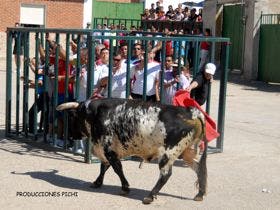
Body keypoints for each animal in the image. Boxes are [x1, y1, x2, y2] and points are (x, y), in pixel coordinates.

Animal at [57, 98, 208, 203]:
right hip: (186, 152)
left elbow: (117, 168)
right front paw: (97, 183)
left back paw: (150, 196)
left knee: (165, 175)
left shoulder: (108, 149)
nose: (71, 136)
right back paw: (200, 194)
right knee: (199, 168)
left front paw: (125, 187)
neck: (95, 114)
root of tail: (191, 112)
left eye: (73, 117)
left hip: (168, 154)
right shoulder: (108, 151)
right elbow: (104, 167)